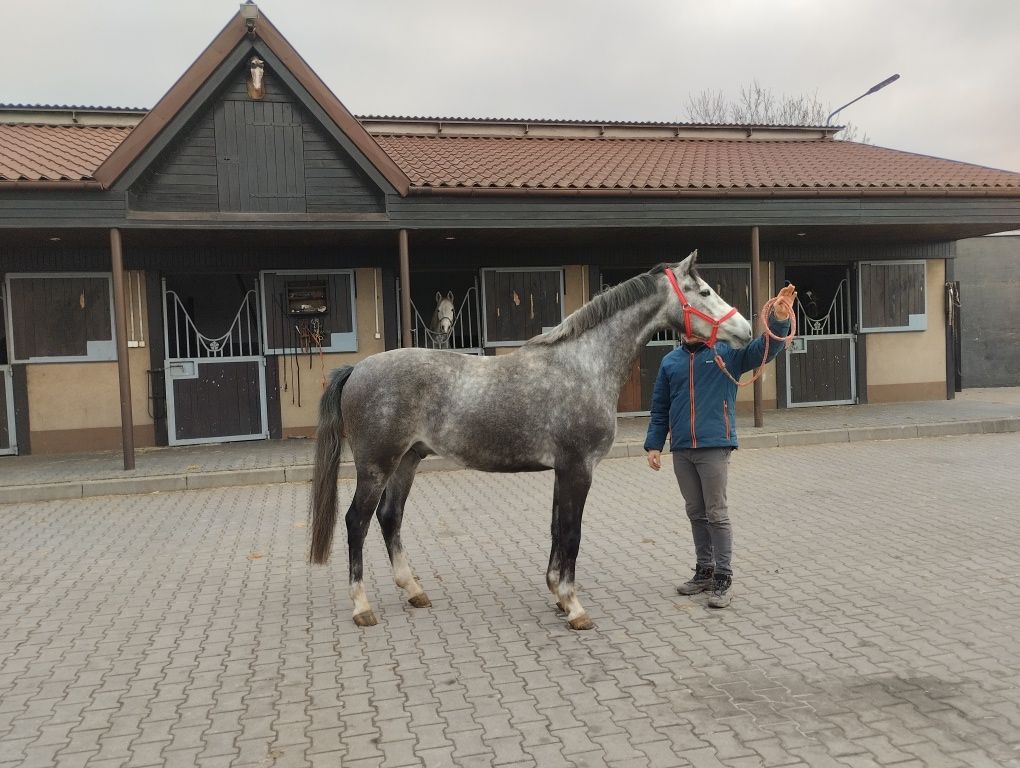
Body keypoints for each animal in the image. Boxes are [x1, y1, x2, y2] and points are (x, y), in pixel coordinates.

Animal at [306, 251, 754, 628]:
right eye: (704, 292)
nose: (746, 330)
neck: (583, 364)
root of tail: (358, 368)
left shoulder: (562, 471)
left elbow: (557, 529)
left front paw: (557, 593)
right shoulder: (578, 469)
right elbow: (571, 532)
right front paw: (574, 606)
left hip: (407, 461)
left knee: (390, 517)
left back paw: (414, 590)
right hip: (376, 465)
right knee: (357, 522)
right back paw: (362, 607)